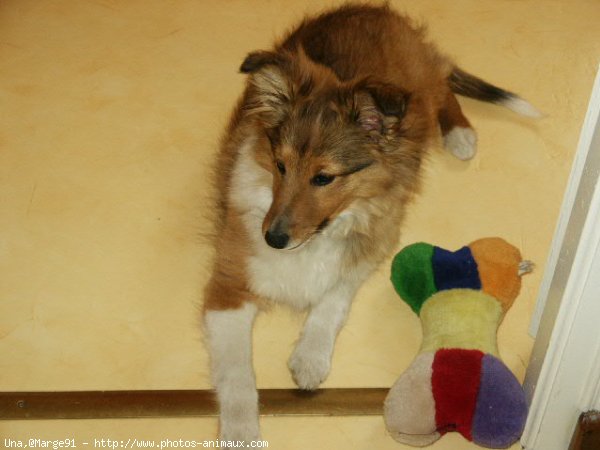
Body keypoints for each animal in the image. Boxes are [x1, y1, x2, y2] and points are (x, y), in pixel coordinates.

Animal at [202, 2, 540, 440]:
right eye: (280, 165)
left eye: (324, 178)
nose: (273, 239)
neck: (318, 235)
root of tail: (376, 10)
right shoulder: (228, 286)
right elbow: (236, 372)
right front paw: (241, 429)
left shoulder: (374, 241)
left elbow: (333, 298)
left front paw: (310, 358)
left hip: (418, 92)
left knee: (442, 87)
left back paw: (460, 135)